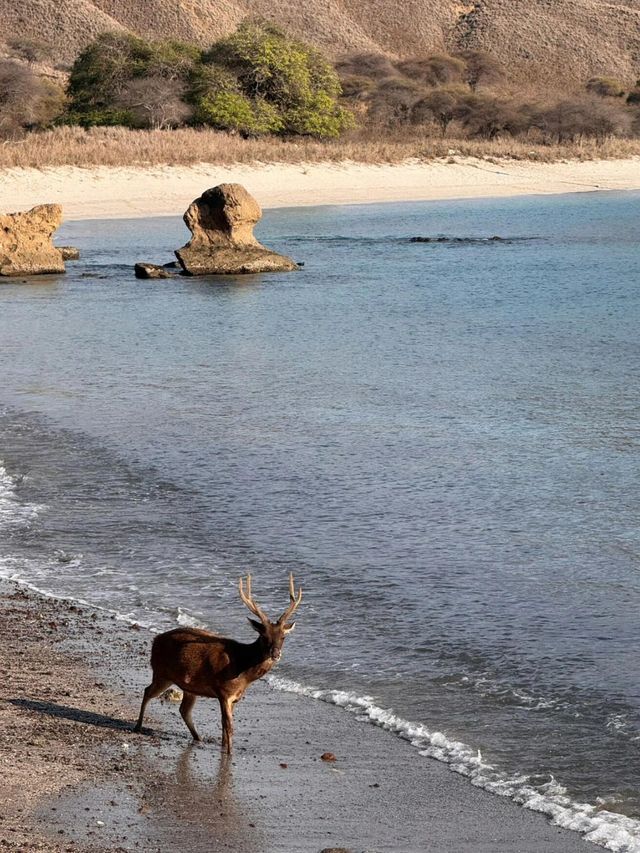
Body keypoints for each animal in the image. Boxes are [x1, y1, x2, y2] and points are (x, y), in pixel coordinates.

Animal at [133, 572, 302, 752]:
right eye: (264, 636)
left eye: (283, 637)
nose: (275, 653)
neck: (242, 670)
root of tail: (155, 640)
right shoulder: (223, 691)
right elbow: (229, 727)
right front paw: (229, 753)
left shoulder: (234, 697)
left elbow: (224, 727)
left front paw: (224, 748)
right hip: (161, 672)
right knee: (148, 691)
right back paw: (138, 726)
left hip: (188, 685)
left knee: (184, 710)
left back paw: (198, 738)